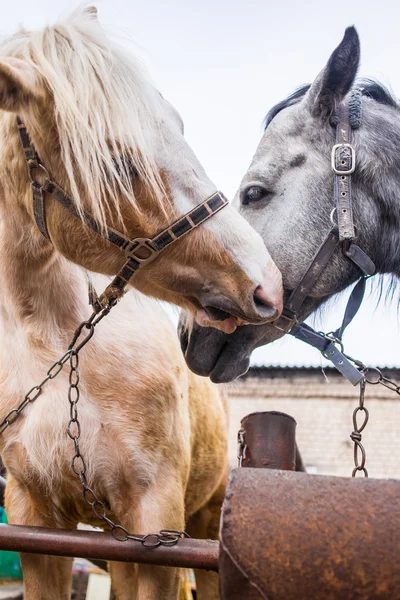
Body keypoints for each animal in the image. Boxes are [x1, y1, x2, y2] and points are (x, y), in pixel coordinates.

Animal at [0, 5, 284, 600]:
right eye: (116, 164)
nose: (267, 284)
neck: (58, 348)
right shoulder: (36, 522)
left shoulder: (157, 525)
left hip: (203, 522)